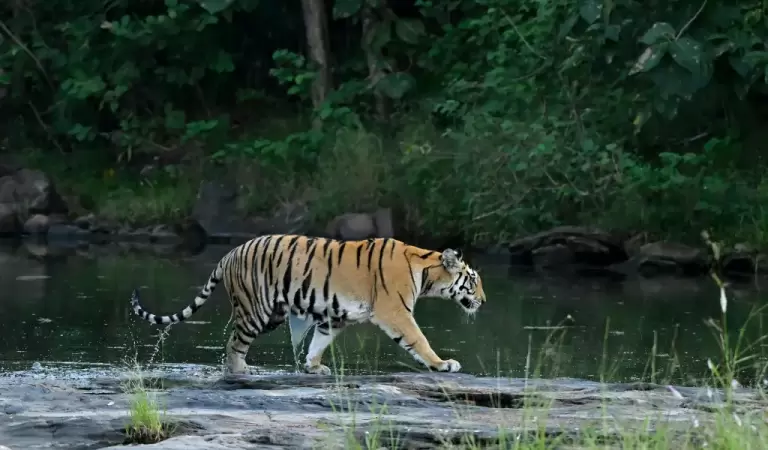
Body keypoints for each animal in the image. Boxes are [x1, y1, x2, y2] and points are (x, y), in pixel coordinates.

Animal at [129, 234, 487, 375]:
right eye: (473, 280)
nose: (484, 301)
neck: (426, 271)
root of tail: (229, 253)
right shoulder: (395, 311)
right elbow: (419, 340)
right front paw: (443, 364)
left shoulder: (335, 316)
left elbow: (319, 341)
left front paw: (313, 367)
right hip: (256, 310)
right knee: (234, 344)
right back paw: (242, 371)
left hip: (271, 313)